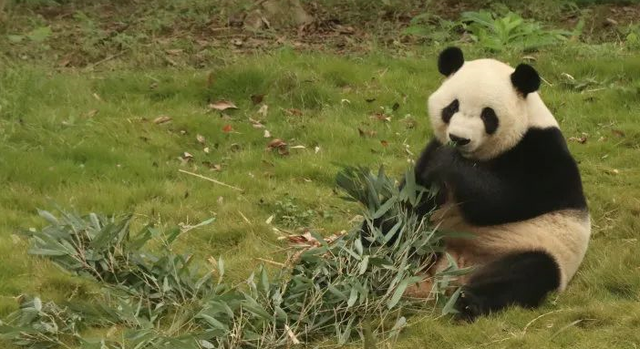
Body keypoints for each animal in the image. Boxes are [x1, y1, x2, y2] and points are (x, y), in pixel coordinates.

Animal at [360, 46, 592, 320]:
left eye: (487, 114)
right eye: (452, 107)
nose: (459, 138)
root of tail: (453, 270)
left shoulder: (542, 151)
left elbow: (501, 201)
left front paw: (447, 162)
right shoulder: (431, 152)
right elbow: (411, 199)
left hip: (535, 247)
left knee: (526, 273)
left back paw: (467, 302)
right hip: (433, 234)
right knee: (394, 229)